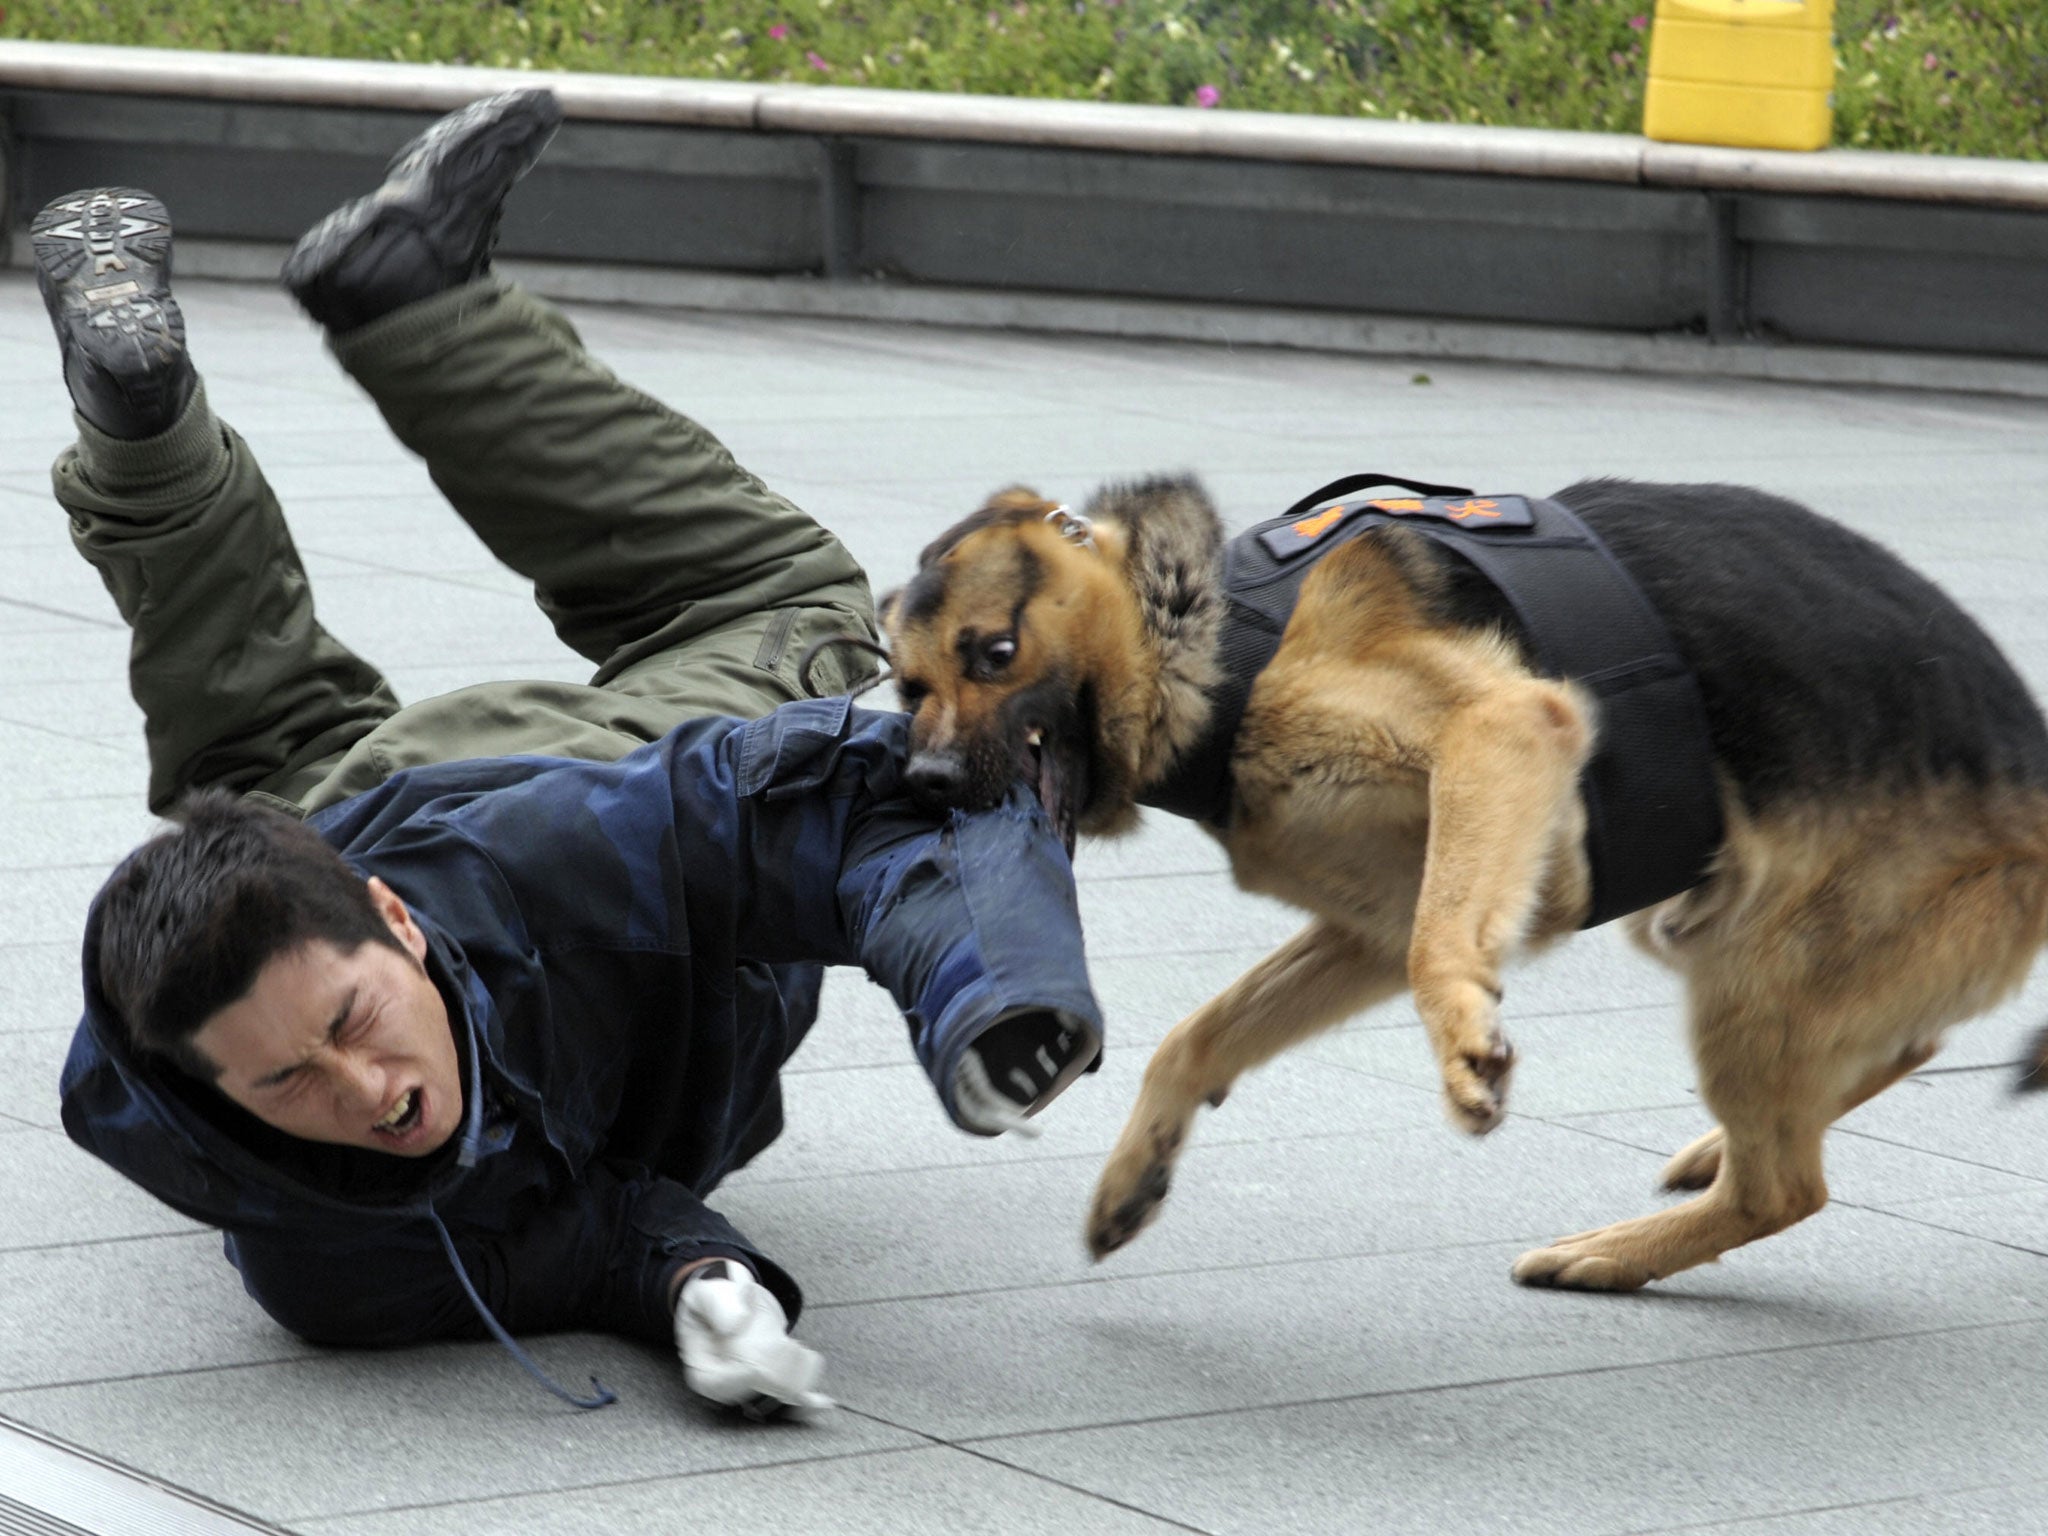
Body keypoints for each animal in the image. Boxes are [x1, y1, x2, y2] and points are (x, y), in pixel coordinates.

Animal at [888, 475, 2048, 1294]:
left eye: (994, 652)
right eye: (905, 686)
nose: (922, 781)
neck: (1211, 643)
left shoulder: (1500, 732)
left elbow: (1437, 944)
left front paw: (1462, 1045)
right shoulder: (1367, 921)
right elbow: (1201, 1033)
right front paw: (1139, 1170)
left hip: (1756, 968)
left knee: (1787, 1188)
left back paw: (1615, 1253)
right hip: (1722, 933)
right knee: (1897, 1050)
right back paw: (1702, 1163)